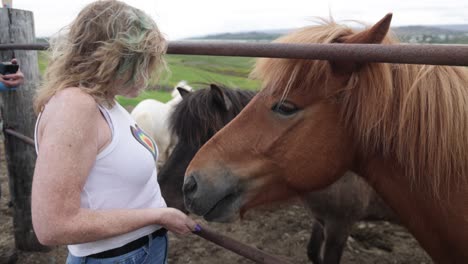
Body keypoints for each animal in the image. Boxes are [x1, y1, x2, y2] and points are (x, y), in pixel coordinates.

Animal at [158, 84, 394, 262]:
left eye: (208, 133)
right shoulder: (321, 220)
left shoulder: (339, 227)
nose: (164, 196)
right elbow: (312, 252)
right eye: (180, 135)